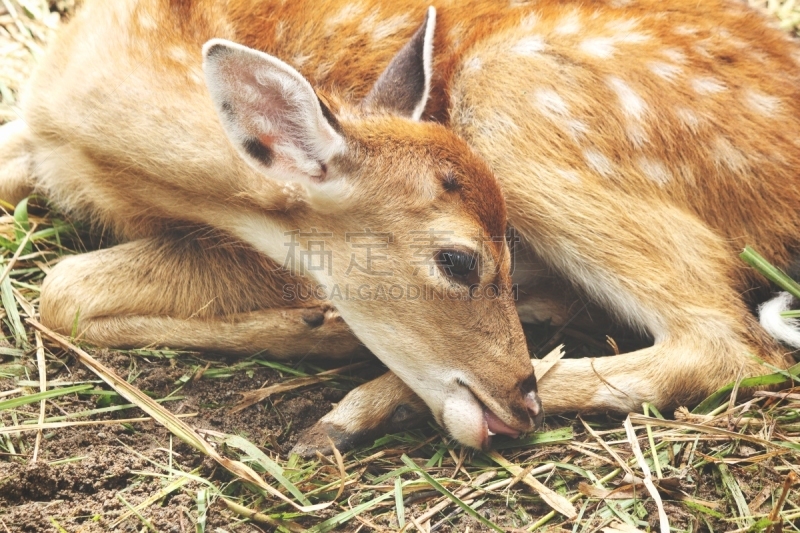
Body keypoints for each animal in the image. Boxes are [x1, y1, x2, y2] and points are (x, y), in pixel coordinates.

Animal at [1, 0, 800, 456]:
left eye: (492, 248)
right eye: (460, 261)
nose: (521, 399)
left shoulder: (267, 256)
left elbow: (63, 290)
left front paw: (323, 327)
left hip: (511, 96)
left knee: (724, 340)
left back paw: (353, 412)